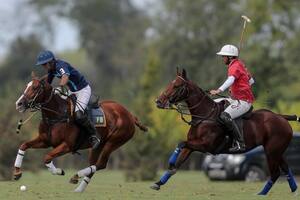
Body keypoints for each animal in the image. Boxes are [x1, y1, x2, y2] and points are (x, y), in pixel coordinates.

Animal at [14, 74, 148, 192]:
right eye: (27, 86)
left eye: (35, 87)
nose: (19, 104)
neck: (57, 114)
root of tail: (130, 115)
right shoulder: (44, 140)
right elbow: (23, 145)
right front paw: (17, 172)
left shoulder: (67, 145)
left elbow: (47, 157)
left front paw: (59, 171)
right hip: (97, 147)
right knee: (94, 165)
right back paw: (78, 189)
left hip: (113, 142)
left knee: (101, 164)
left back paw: (77, 175)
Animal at [152, 69, 298, 195]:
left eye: (176, 86)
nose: (158, 101)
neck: (205, 116)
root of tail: (281, 117)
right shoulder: (192, 145)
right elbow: (176, 165)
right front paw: (158, 183)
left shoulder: (206, 146)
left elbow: (181, 144)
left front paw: (170, 161)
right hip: (277, 151)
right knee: (286, 168)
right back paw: (293, 190)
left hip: (271, 151)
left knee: (275, 173)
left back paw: (262, 194)